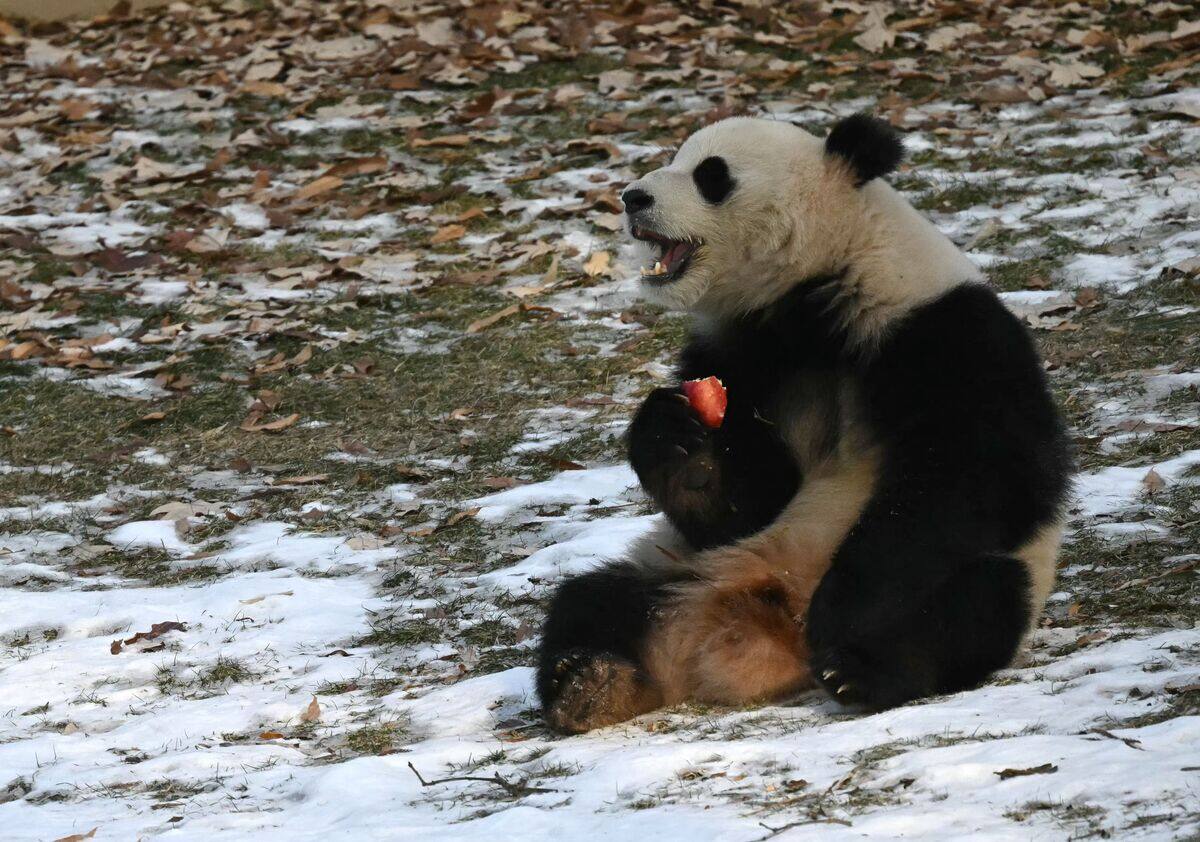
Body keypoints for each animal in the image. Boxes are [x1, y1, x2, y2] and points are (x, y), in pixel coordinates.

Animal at [536, 114, 1073, 734]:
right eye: (677, 158)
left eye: (711, 175)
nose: (633, 197)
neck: (814, 292)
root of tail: (766, 634)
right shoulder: (742, 355)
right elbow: (747, 504)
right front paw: (677, 440)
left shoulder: (946, 330)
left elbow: (976, 475)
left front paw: (842, 614)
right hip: (680, 572)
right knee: (593, 601)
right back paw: (588, 682)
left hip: (988, 575)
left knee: (977, 602)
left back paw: (861, 670)